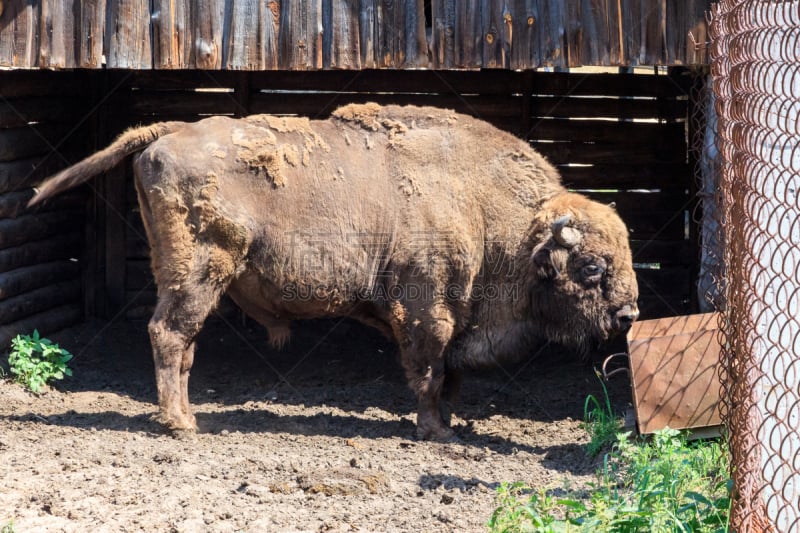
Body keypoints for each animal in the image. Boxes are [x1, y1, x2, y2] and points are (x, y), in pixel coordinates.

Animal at [31, 104, 640, 440]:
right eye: (591, 267)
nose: (629, 314)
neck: (490, 211)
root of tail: (168, 133)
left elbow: (449, 377)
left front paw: (445, 425)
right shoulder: (427, 312)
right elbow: (429, 373)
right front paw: (434, 432)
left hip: (185, 276)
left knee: (183, 342)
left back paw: (186, 415)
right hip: (199, 272)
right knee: (169, 333)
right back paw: (180, 424)